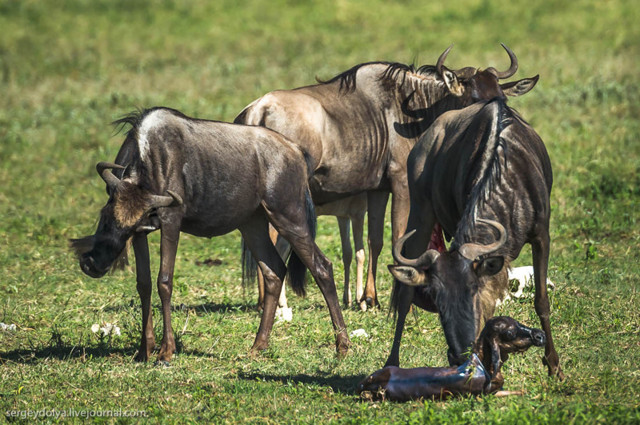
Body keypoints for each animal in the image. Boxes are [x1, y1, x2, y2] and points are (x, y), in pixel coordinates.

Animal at [72, 107, 350, 362]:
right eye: (106, 215)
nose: (92, 264)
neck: (150, 156)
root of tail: (296, 151)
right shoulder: (143, 233)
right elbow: (144, 284)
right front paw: (144, 350)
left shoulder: (170, 221)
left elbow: (164, 281)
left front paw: (166, 351)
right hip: (252, 223)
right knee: (273, 271)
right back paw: (258, 346)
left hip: (288, 217)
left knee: (321, 267)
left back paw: (342, 346)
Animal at [358, 314, 544, 400]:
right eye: (509, 333)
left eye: (517, 322)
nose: (540, 335)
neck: (483, 366)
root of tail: (364, 383)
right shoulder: (483, 393)